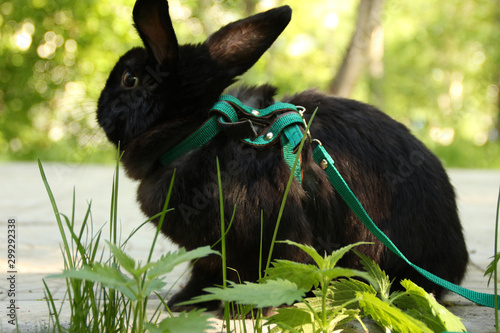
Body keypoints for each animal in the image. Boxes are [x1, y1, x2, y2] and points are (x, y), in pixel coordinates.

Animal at [96, 0, 468, 312]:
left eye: (128, 79)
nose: (98, 109)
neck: (195, 133)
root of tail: (456, 261)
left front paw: (247, 308)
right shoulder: (210, 253)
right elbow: (207, 277)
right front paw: (184, 302)